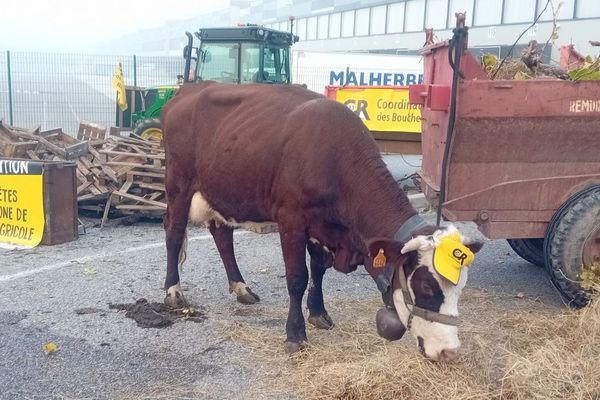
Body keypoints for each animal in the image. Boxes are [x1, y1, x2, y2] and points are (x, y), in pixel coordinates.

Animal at [161, 83, 482, 360]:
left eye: (461, 287)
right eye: (426, 287)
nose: (450, 352)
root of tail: (190, 87)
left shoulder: (323, 228)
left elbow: (318, 269)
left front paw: (318, 313)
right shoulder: (291, 220)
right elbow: (297, 278)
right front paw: (295, 335)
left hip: (222, 191)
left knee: (222, 235)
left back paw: (241, 288)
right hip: (178, 184)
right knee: (173, 232)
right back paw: (173, 292)